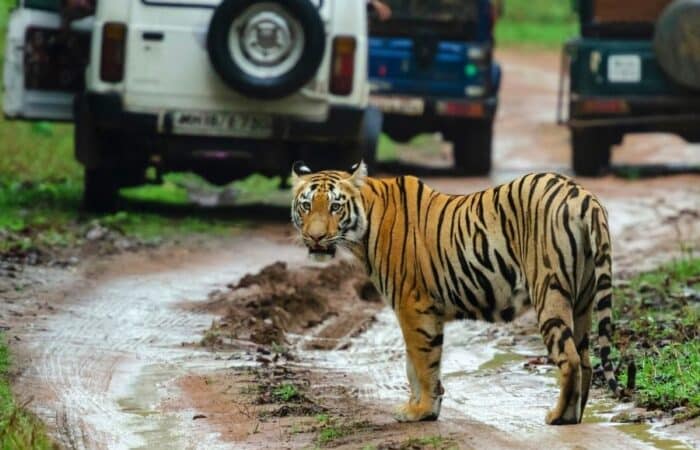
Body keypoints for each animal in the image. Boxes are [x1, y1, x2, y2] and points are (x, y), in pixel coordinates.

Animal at [290, 161, 627, 425]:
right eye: (306, 205)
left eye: (335, 206)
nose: (315, 237)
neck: (363, 230)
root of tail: (582, 195)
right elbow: (417, 364)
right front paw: (421, 407)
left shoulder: (413, 306)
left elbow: (421, 362)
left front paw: (421, 411)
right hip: (583, 298)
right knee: (585, 359)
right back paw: (576, 415)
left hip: (550, 291)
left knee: (569, 358)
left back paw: (559, 417)